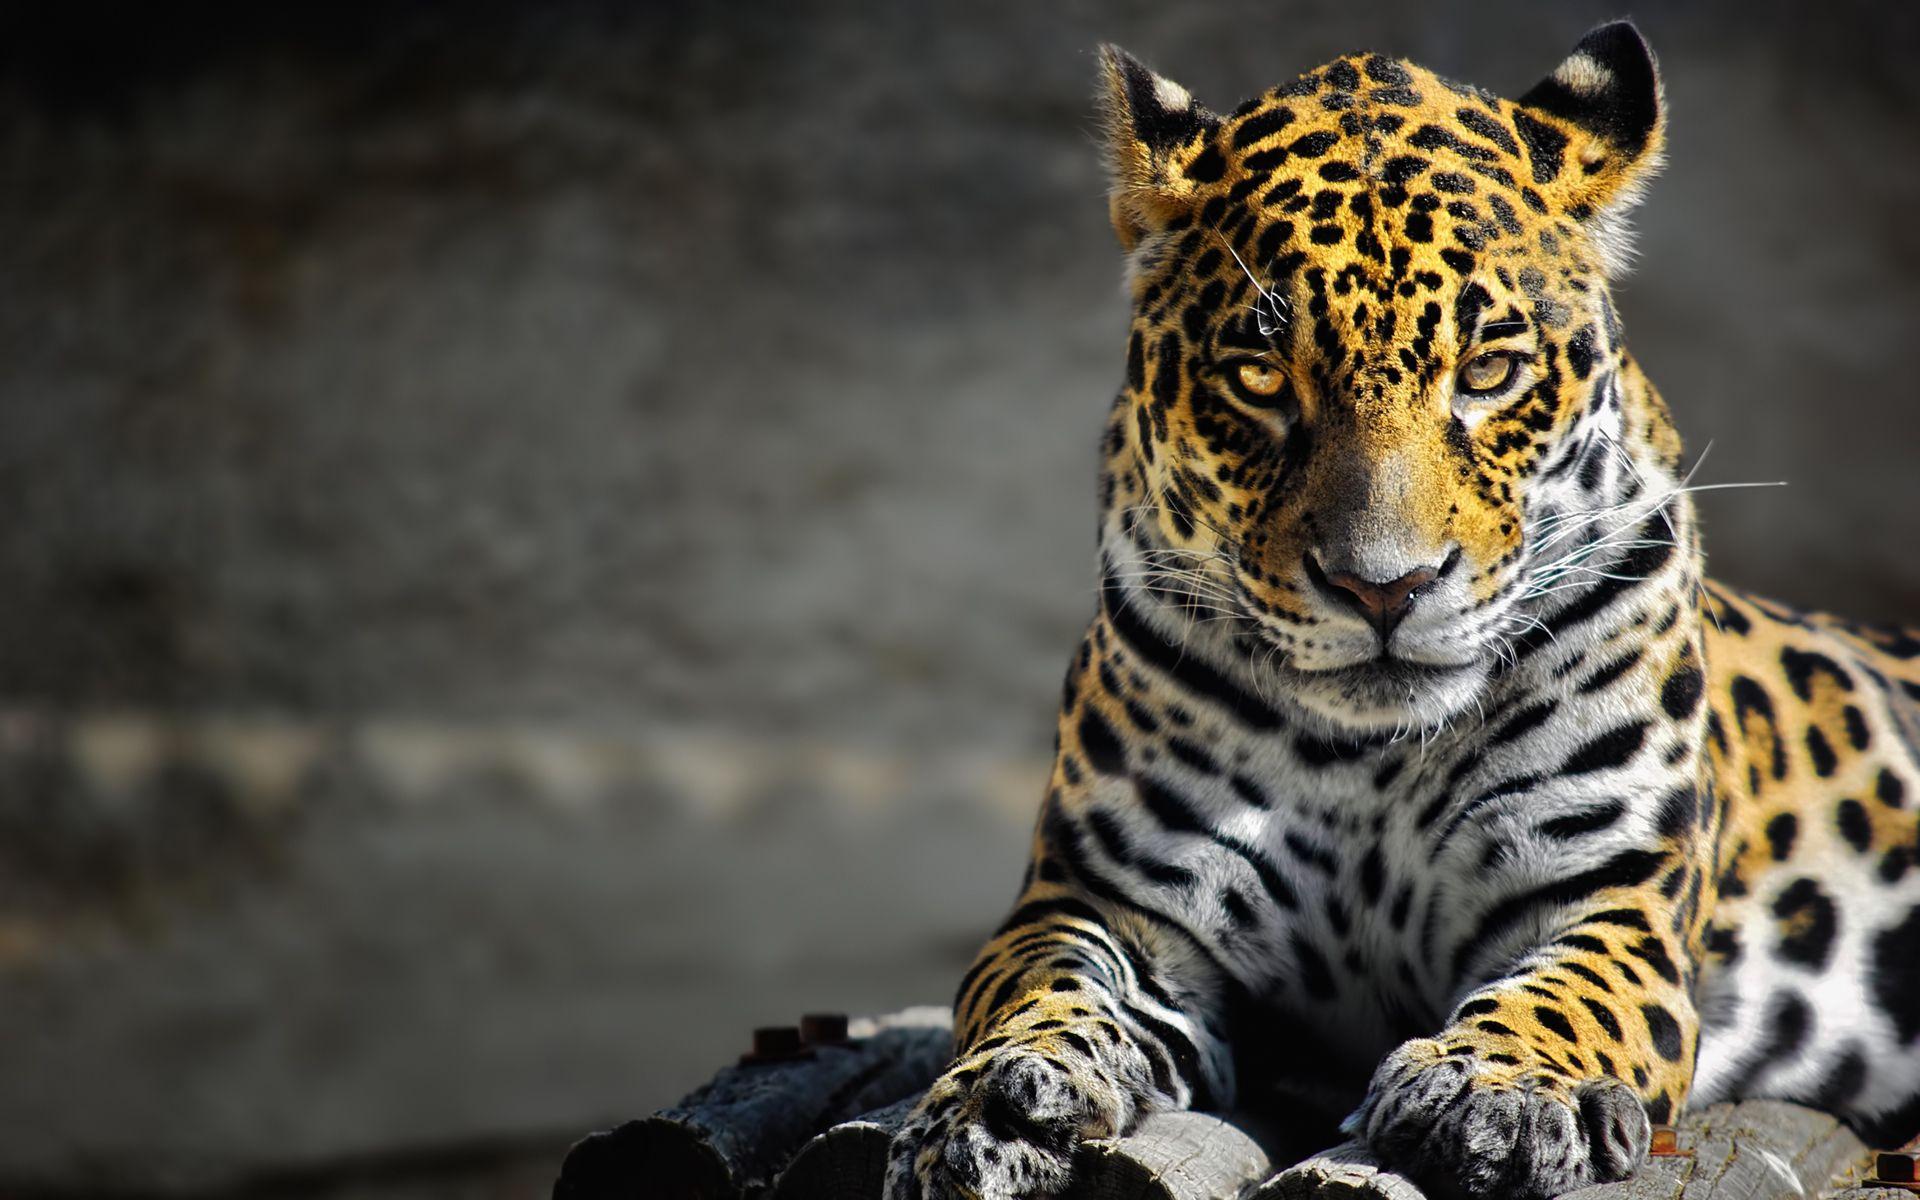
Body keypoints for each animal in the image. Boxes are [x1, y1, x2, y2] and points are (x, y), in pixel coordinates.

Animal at [880, 21, 1920, 1200]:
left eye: (1491, 370)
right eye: (1260, 379)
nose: (1385, 586)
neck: (1369, 762)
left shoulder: (1613, 895)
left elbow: (1566, 996)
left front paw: (1496, 1092)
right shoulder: (1104, 899)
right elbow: (1033, 985)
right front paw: (989, 1104)